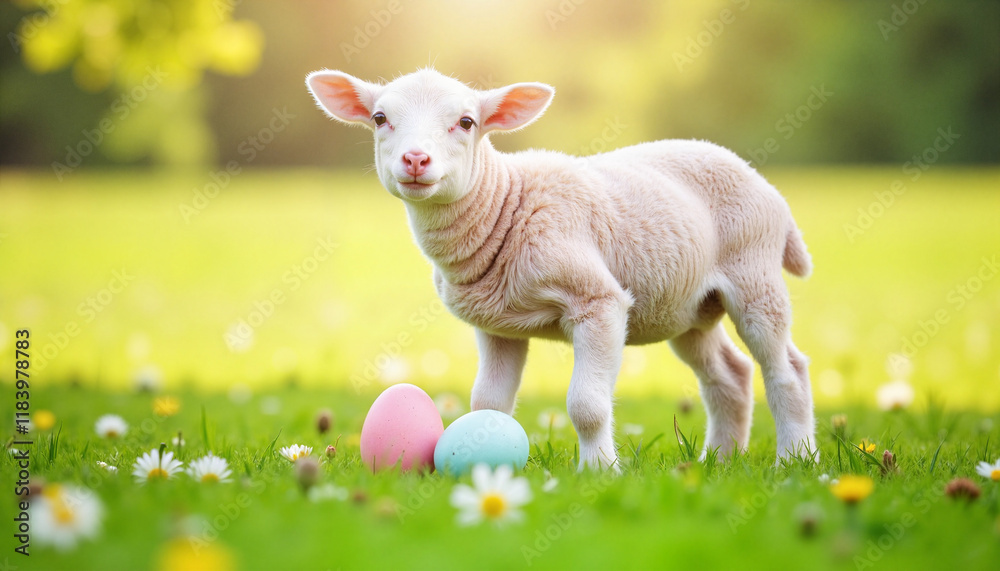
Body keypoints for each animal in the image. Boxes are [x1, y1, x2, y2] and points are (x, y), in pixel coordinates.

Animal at [306, 68, 816, 470]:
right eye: (379, 118)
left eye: (466, 122)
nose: (415, 160)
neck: (504, 204)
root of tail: (766, 185)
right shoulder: (497, 326)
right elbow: (487, 403)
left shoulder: (599, 302)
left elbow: (587, 405)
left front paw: (599, 472)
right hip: (688, 308)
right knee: (730, 376)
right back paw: (720, 460)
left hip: (755, 275)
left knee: (786, 369)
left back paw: (793, 459)